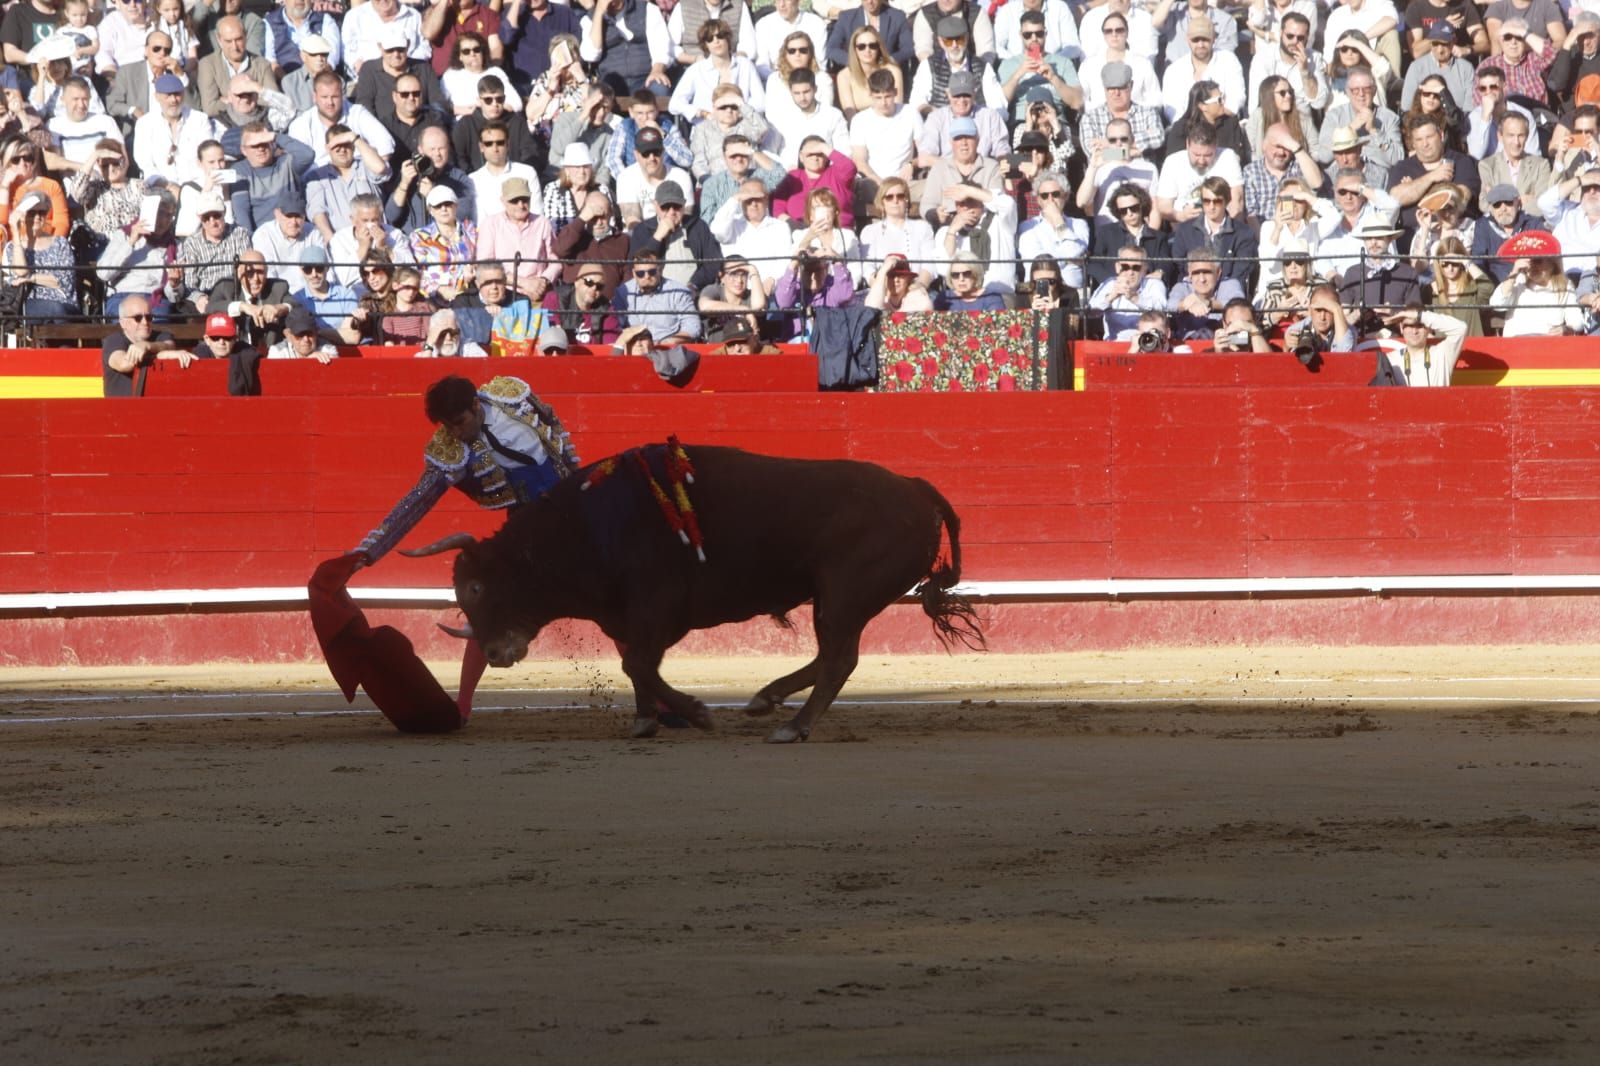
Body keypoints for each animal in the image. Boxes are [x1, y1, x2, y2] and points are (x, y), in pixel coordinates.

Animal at [406, 438, 979, 739]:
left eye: (476, 587)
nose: (495, 653)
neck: (586, 526)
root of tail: (914, 487)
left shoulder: (658, 607)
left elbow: (636, 663)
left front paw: (696, 712)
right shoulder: (631, 616)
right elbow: (637, 664)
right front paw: (646, 721)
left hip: (843, 591)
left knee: (839, 658)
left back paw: (793, 725)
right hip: (836, 597)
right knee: (833, 655)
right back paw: (765, 700)